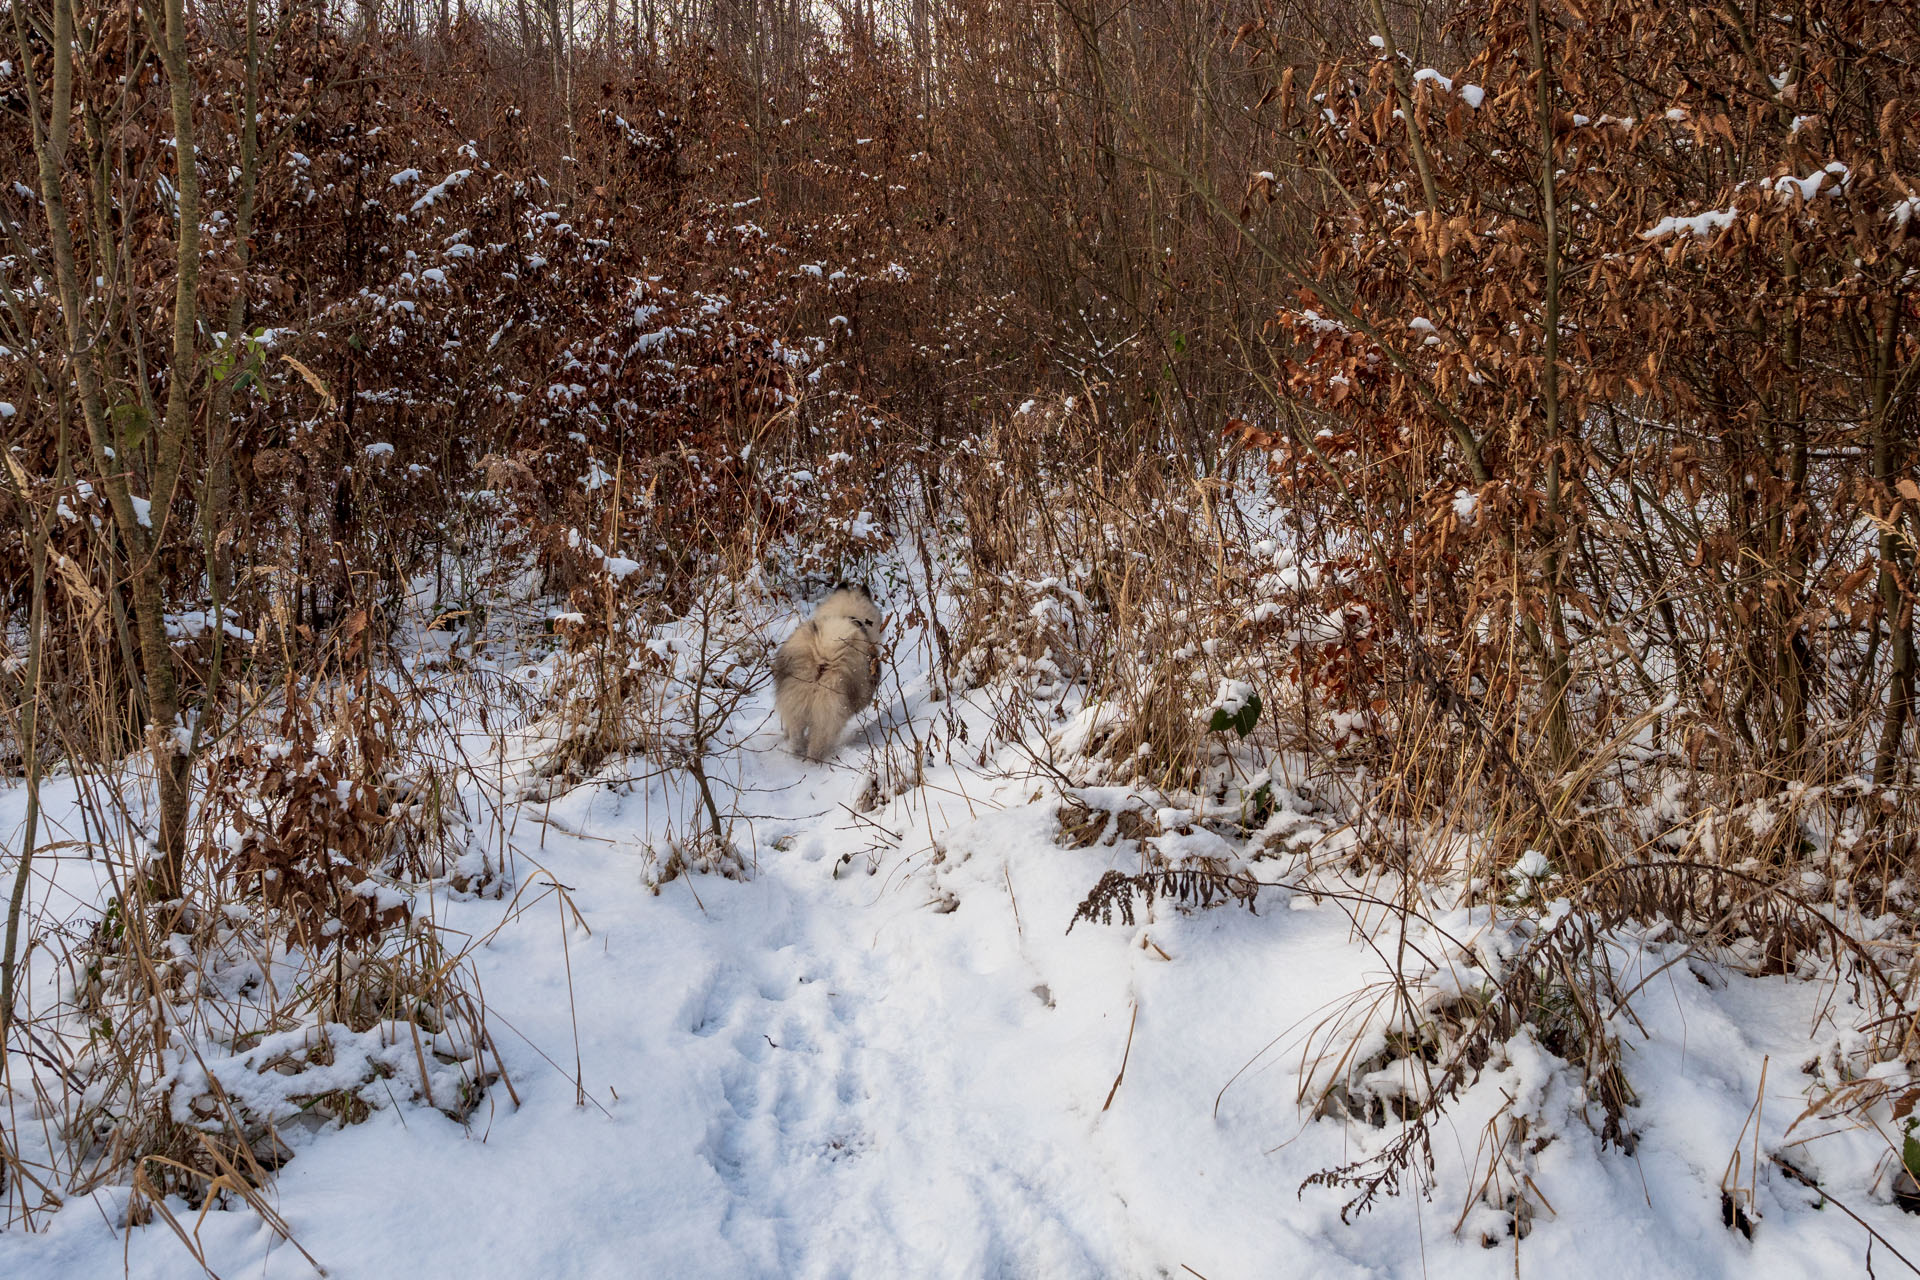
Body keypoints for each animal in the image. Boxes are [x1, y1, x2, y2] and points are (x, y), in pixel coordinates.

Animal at [768, 587, 879, 759]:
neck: (846, 615)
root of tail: (822, 656)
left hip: (794, 703)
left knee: (796, 737)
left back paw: (797, 753)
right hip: (828, 711)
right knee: (817, 743)